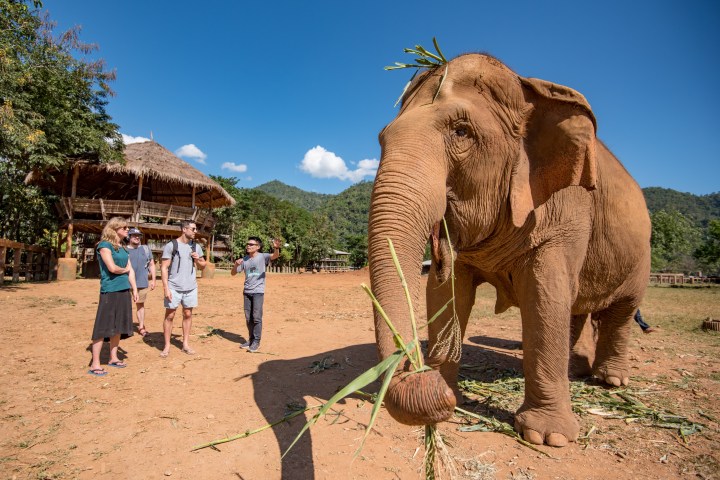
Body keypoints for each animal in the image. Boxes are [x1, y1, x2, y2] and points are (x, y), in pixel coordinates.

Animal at [368, 53, 651, 447]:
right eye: (382, 138)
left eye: (462, 132)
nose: (422, 375)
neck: (527, 88)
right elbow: (446, 293)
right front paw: (450, 394)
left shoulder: (567, 208)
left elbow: (545, 293)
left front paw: (548, 438)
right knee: (576, 307)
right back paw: (572, 369)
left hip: (641, 257)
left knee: (620, 312)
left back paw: (610, 380)